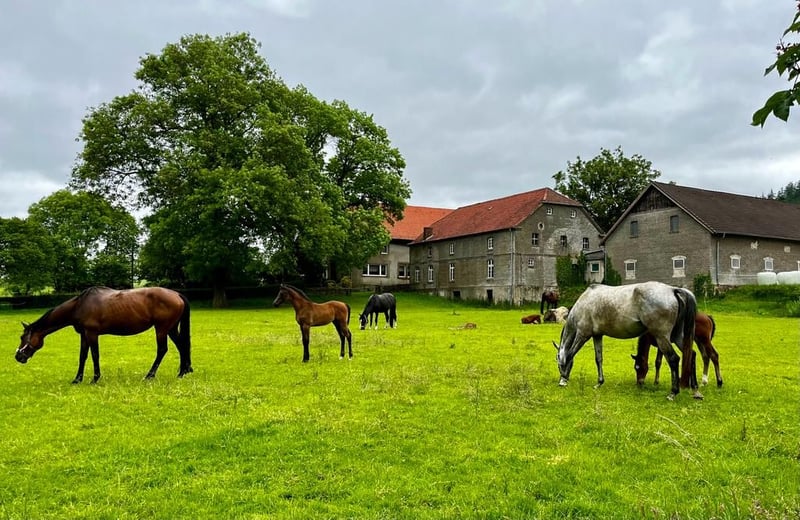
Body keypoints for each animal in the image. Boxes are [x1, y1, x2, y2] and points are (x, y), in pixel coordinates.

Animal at [15, 286, 192, 384]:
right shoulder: (84, 335)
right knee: (181, 345)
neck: (79, 305)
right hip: (170, 328)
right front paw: (77, 379)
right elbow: (82, 356)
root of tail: (177, 294)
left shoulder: (92, 334)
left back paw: (149, 375)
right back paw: (182, 372)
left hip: (161, 329)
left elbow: (94, 355)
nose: (18, 357)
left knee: (162, 350)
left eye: (23, 337)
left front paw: (95, 378)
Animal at [553, 281, 701, 400]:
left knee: (674, 359)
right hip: (677, 337)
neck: (584, 302)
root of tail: (672, 289)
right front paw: (599, 383)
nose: (561, 376)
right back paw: (695, 390)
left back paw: (673, 393)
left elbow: (570, 354)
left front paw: (563, 379)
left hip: (662, 337)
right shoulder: (597, 336)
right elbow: (598, 359)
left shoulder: (583, 335)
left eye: (557, 361)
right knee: (691, 355)